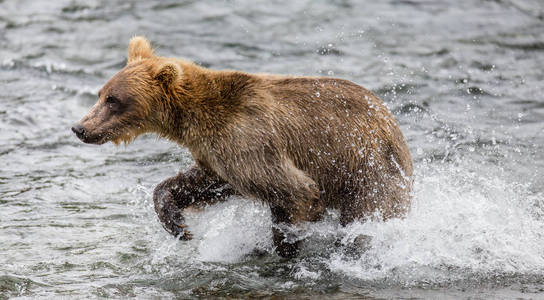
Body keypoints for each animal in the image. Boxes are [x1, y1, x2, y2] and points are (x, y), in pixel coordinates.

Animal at [72, 36, 412, 256]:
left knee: (368, 217)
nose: (80, 128)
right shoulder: (218, 153)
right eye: (101, 93)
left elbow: (295, 191)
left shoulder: (249, 139)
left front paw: (287, 247)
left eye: (113, 100)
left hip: (368, 170)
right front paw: (178, 224)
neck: (192, 120)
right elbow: (205, 183)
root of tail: (395, 127)